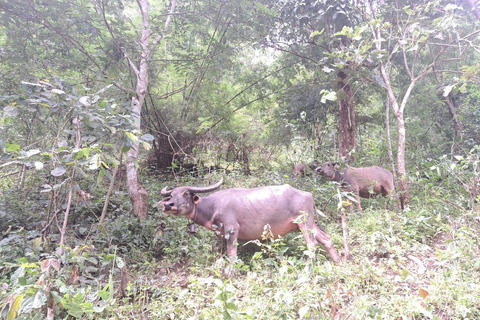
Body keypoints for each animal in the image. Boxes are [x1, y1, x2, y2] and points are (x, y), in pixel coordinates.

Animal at [157, 178, 338, 268]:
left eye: (186, 193)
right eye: (171, 194)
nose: (168, 205)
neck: (213, 207)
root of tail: (308, 194)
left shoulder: (232, 229)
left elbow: (231, 254)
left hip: (304, 222)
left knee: (312, 244)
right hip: (310, 223)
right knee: (326, 238)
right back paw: (339, 261)